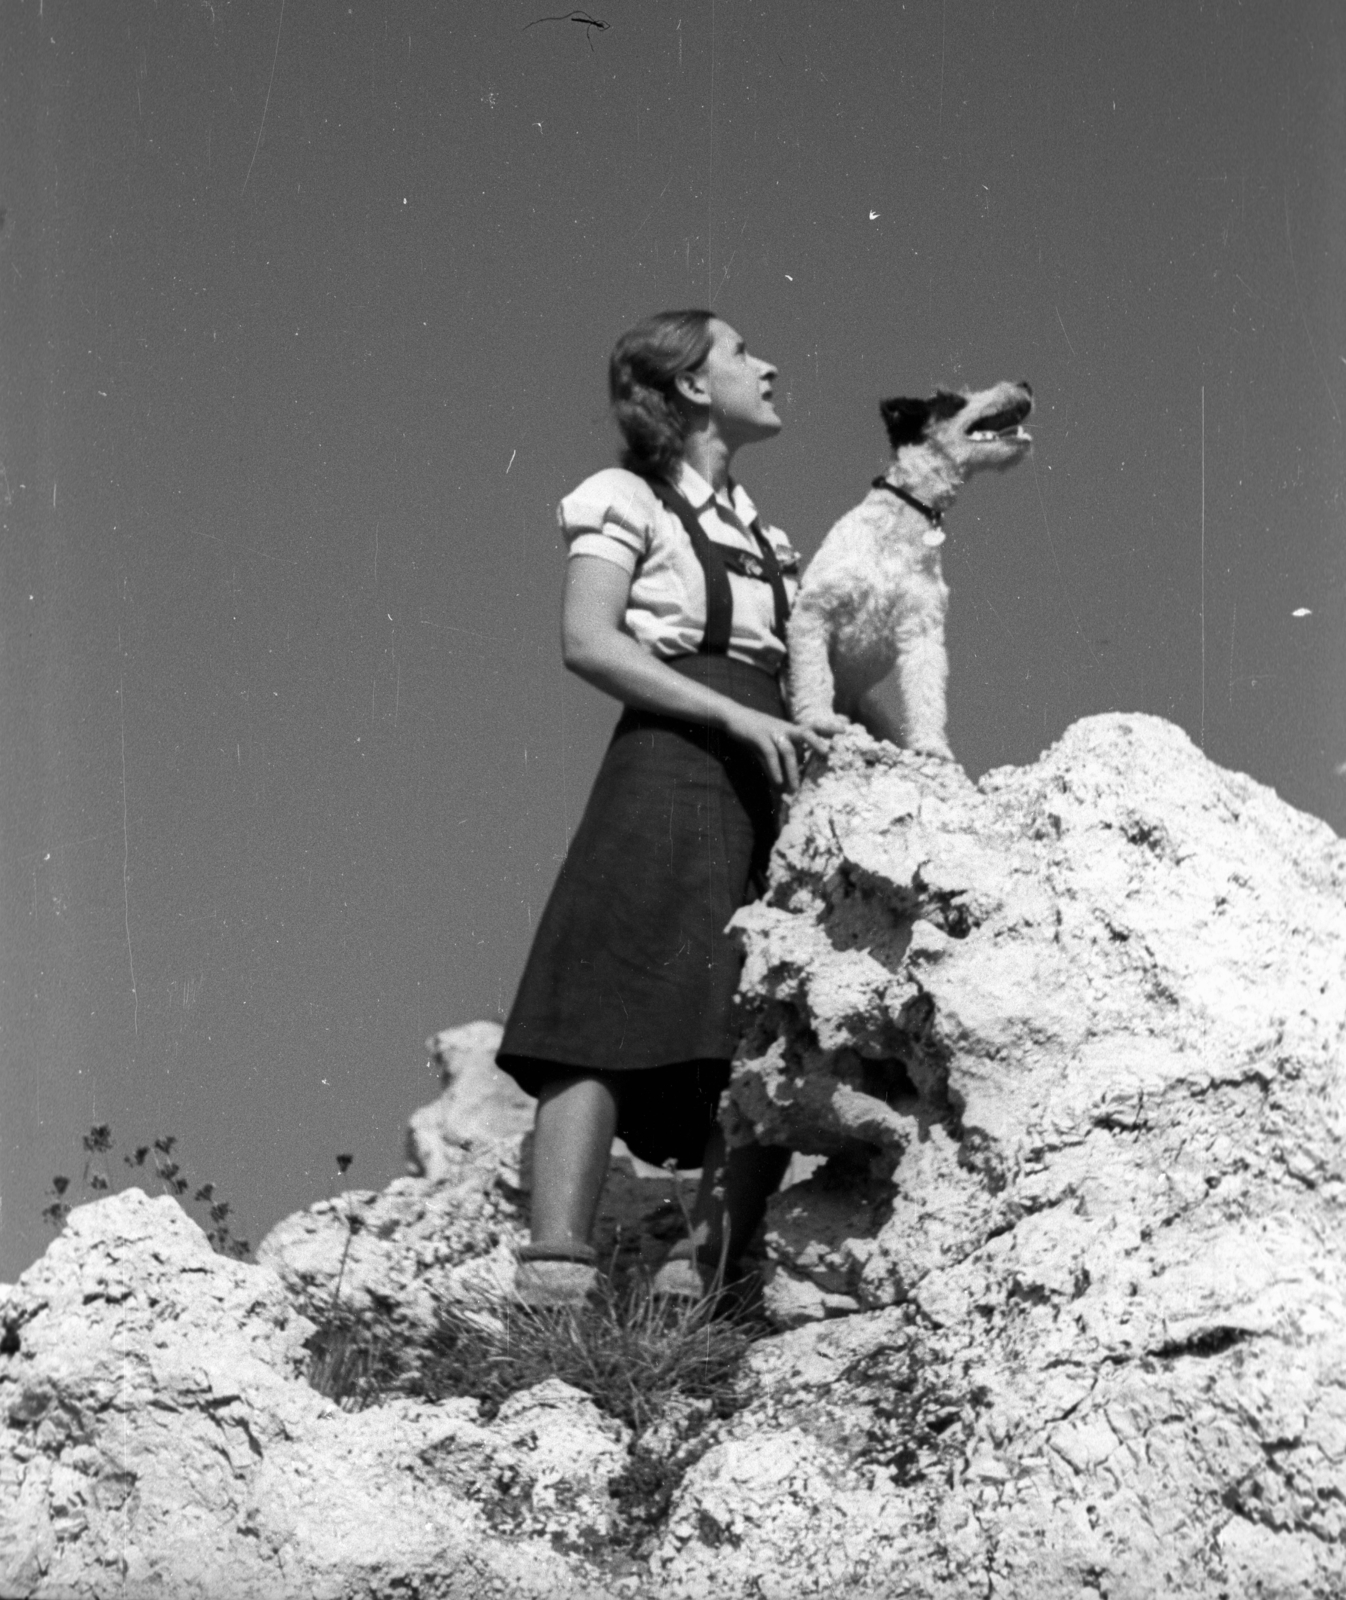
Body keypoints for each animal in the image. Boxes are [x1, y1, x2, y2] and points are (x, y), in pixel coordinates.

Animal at [787, 377, 1030, 758]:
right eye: (953, 400)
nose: (1024, 383)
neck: (900, 526)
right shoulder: (815, 610)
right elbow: (815, 676)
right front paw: (820, 721)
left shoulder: (922, 630)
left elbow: (926, 696)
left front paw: (931, 746)